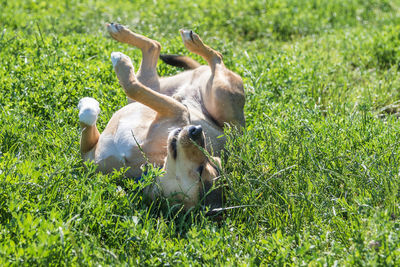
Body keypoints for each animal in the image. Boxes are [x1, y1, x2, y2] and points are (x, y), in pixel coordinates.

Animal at [78, 23, 245, 210]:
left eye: (202, 169)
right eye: (207, 161)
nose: (196, 130)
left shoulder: (178, 110)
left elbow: (132, 87)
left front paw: (120, 65)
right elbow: (88, 117)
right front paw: (88, 104)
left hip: (222, 95)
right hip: (202, 92)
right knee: (161, 48)